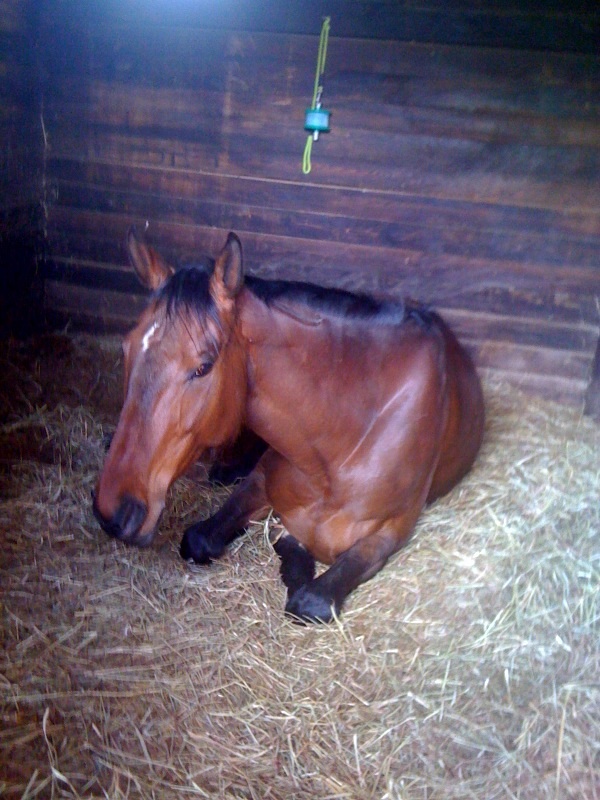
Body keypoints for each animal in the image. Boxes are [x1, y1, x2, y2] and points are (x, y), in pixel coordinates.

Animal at [93, 228, 485, 623]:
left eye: (203, 367)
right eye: (126, 348)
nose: (114, 512)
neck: (341, 442)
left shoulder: (390, 532)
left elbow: (311, 601)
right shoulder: (262, 480)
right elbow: (201, 538)